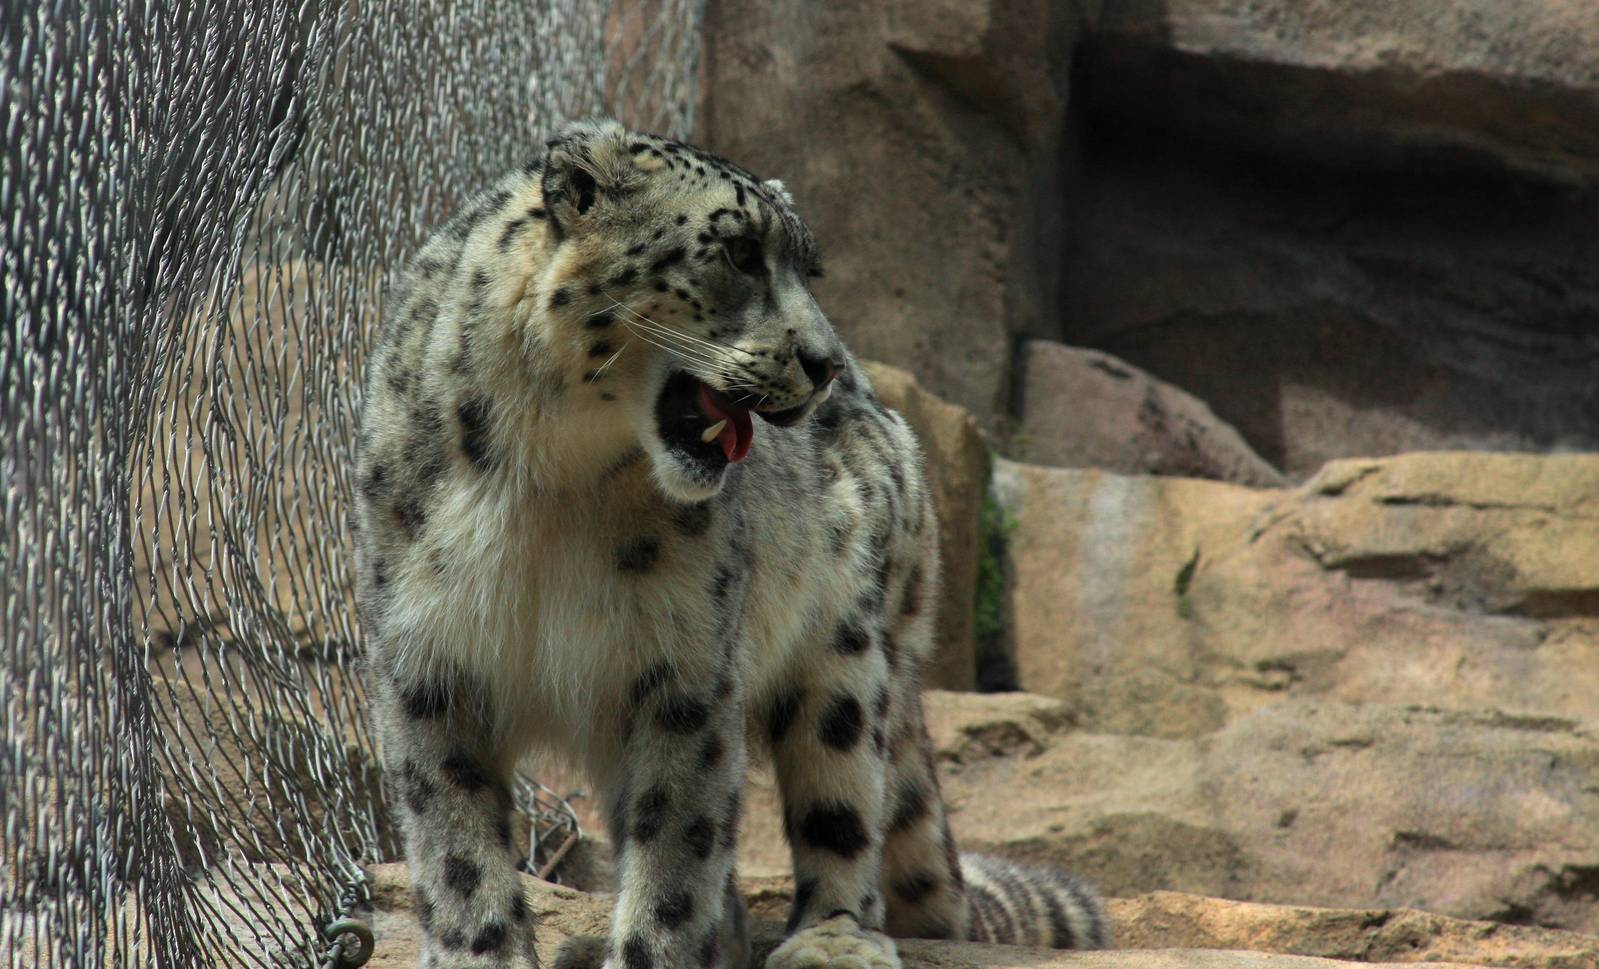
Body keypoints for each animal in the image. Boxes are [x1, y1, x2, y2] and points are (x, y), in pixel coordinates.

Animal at [351, 119, 1109, 969]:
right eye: (742, 251)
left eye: (808, 268)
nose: (823, 363)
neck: (549, 480)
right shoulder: (428, 659)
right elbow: (456, 843)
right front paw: (480, 949)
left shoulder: (686, 667)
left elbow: (676, 847)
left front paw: (648, 950)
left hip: (846, 650)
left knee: (843, 803)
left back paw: (830, 939)